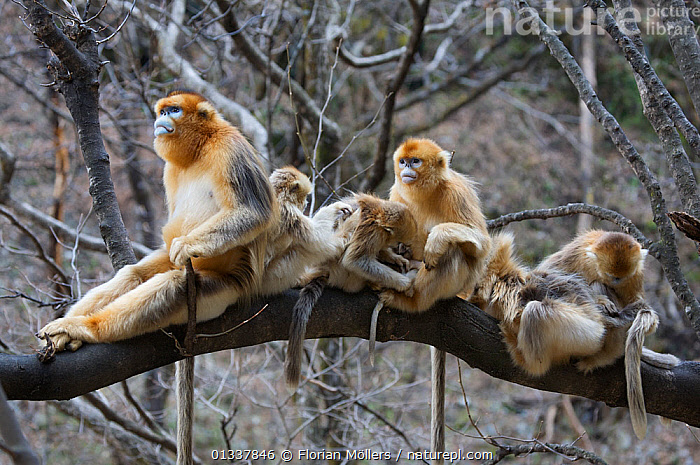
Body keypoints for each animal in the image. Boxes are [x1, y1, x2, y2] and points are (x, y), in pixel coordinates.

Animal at [382, 138, 492, 463]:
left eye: (416, 161)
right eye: (403, 162)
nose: (406, 169)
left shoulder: (456, 191)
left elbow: (481, 244)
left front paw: (436, 239)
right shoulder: (397, 194)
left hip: (460, 284)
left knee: (452, 253)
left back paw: (413, 301)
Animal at [536, 230, 679, 439]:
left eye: (620, 277)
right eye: (612, 275)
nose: (615, 281)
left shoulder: (635, 274)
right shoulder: (576, 252)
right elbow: (546, 273)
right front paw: (600, 300)